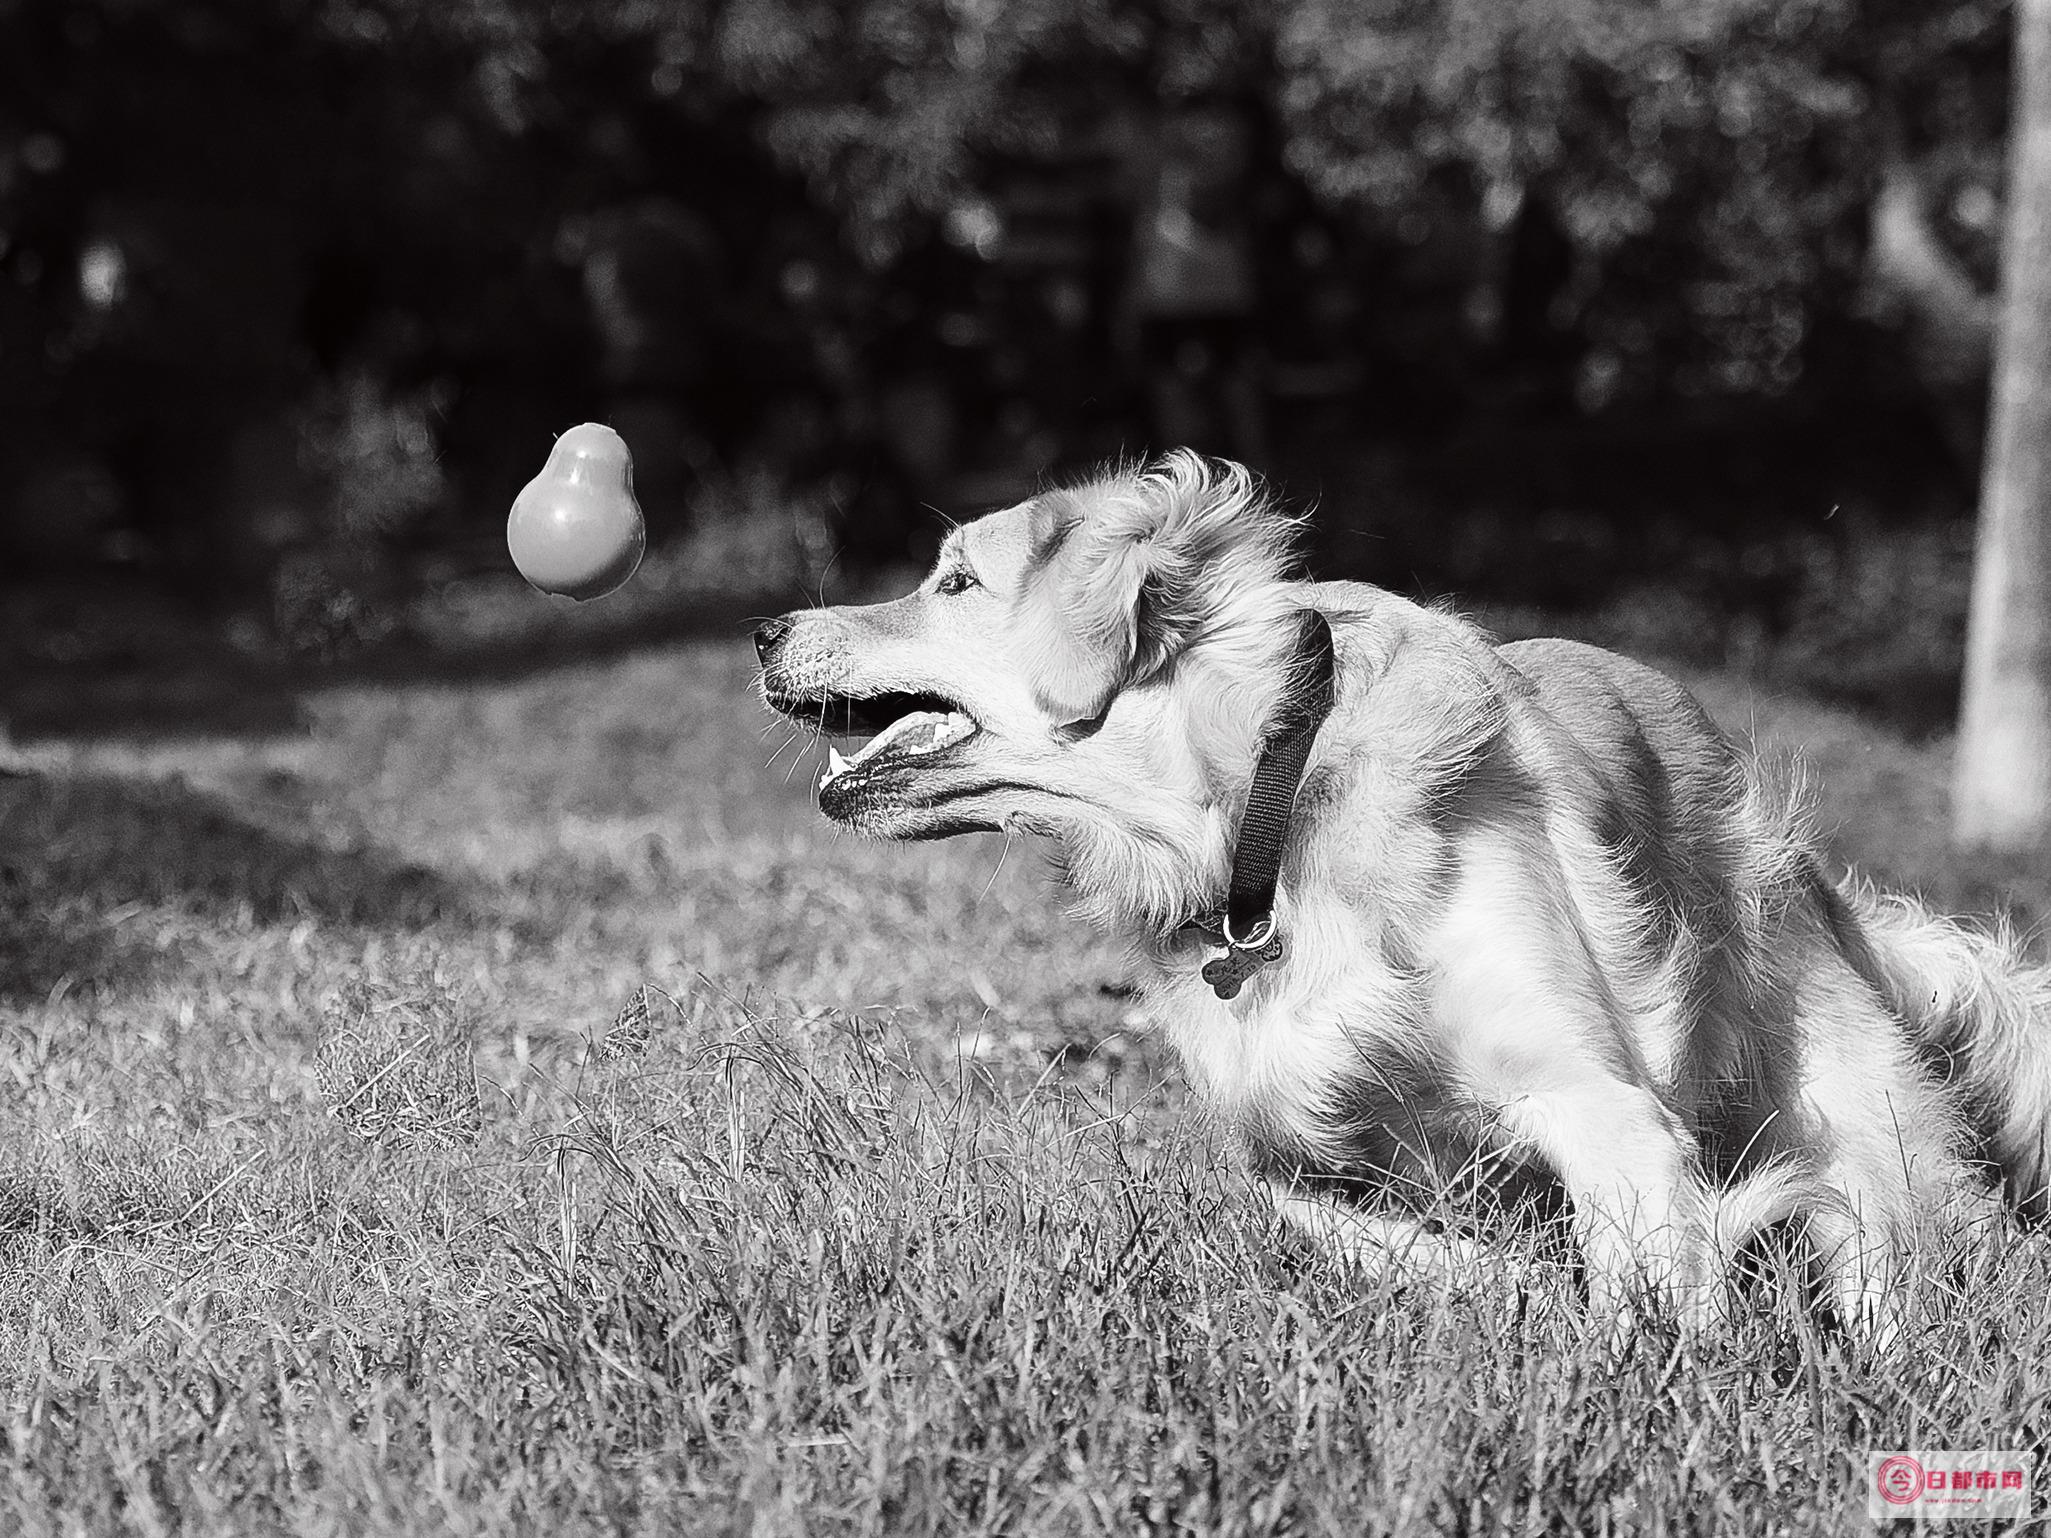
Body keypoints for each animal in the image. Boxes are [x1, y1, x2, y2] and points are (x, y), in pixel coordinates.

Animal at [754, 451, 2051, 1328]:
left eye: (953, 582)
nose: (763, 629)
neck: (1271, 807)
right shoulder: (1286, 1126)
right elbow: (1349, 1222)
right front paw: (1502, 1289)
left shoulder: (1597, 1096)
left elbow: (1646, 1274)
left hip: (1857, 1116)